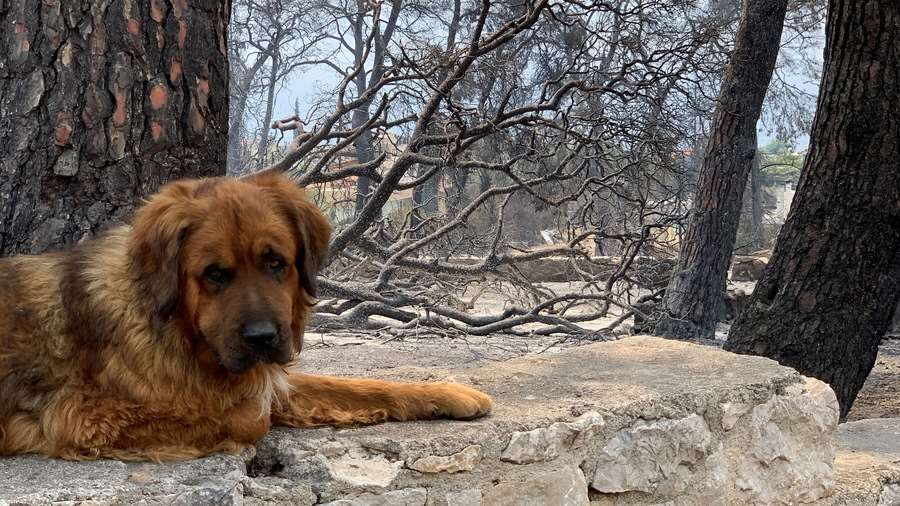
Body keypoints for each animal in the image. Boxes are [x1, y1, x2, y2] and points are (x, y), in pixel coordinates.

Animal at [0, 172, 492, 460]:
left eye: (275, 262)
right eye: (215, 274)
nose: (261, 338)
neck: (176, 331)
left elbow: (356, 387)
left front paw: (446, 393)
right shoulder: (82, 414)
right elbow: (250, 418)